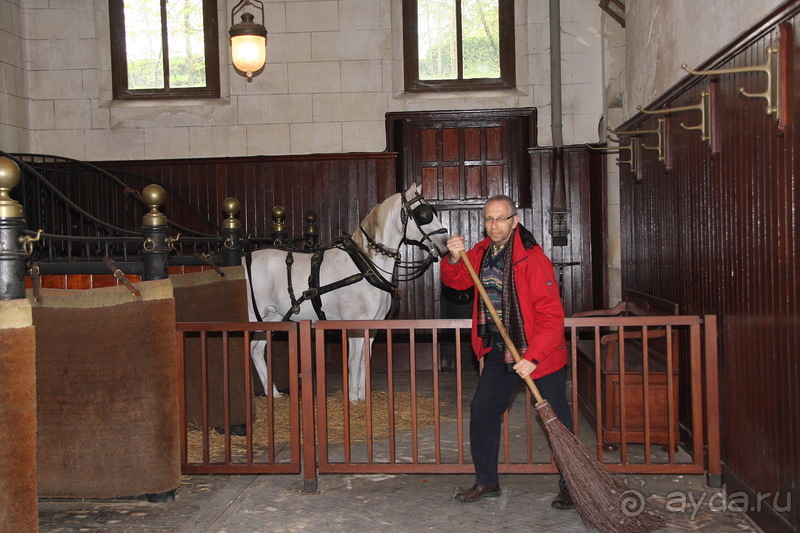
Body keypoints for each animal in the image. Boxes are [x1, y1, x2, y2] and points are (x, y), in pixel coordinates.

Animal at [241, 183, 450, 400]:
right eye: (424, 213)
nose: (445, 241)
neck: (366, 266)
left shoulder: (373, 325)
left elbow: (366, 358)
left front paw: (363, 396)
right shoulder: (356, 323)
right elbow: (354, 360)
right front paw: (353, 398)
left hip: (272, 317)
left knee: (256, 350)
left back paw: (273, 394)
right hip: (251, 316)